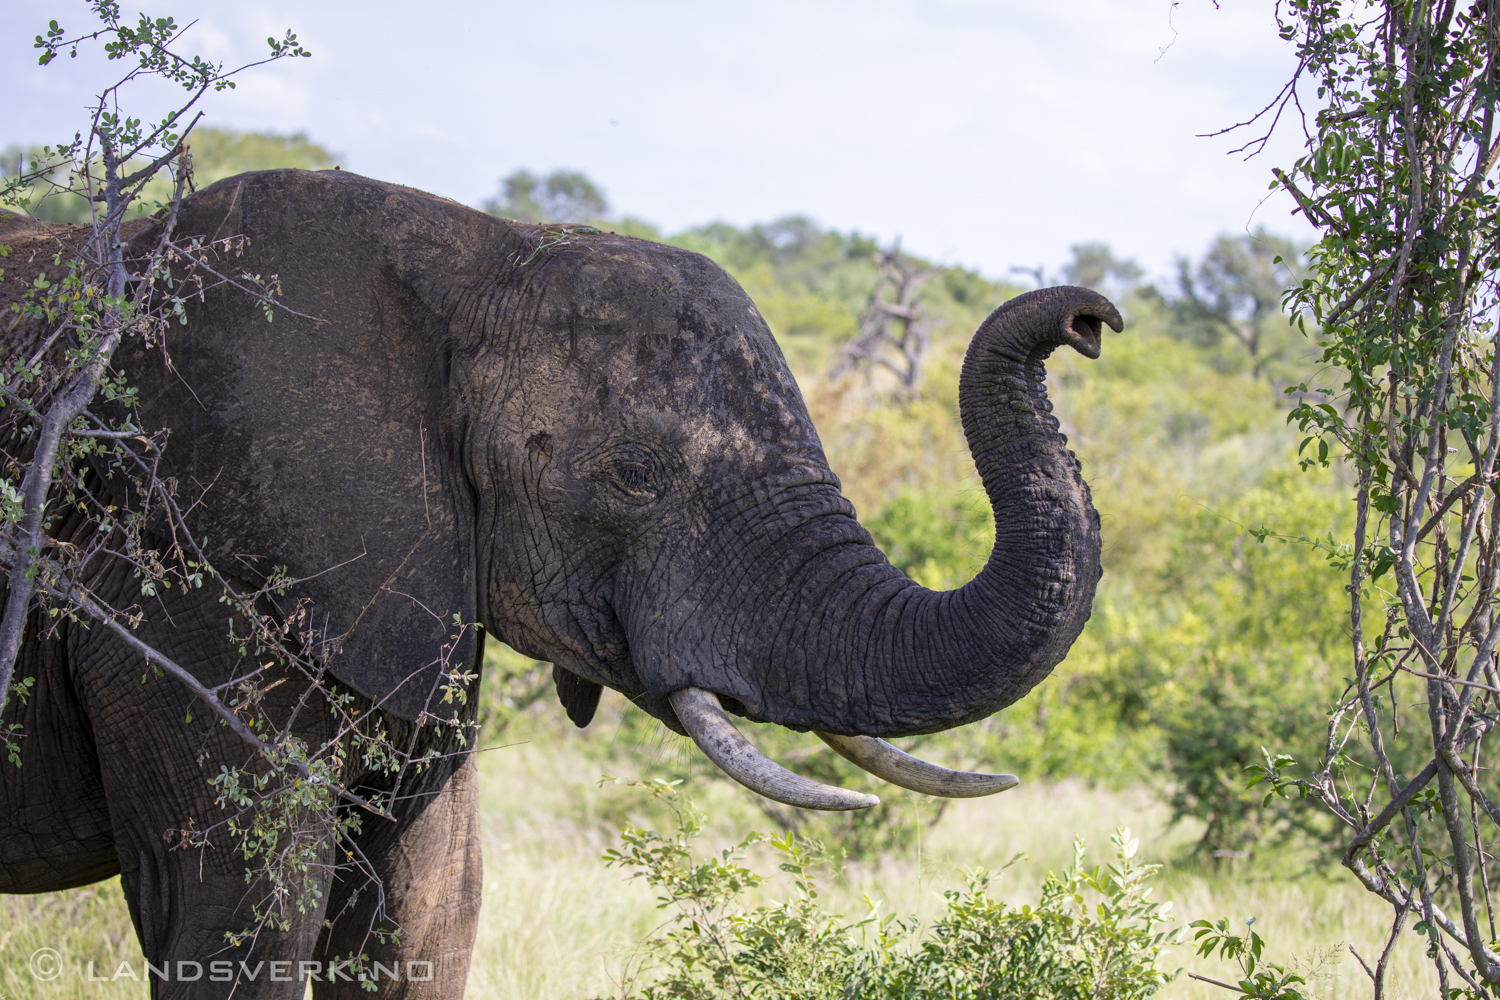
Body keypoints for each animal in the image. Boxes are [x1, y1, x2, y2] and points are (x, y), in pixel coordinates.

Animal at [0, 167, 1116, 995]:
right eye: (632, 476)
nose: (1091, 316)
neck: (481, 252)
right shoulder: (180, 580)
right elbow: (237, 911)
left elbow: (427, 908)